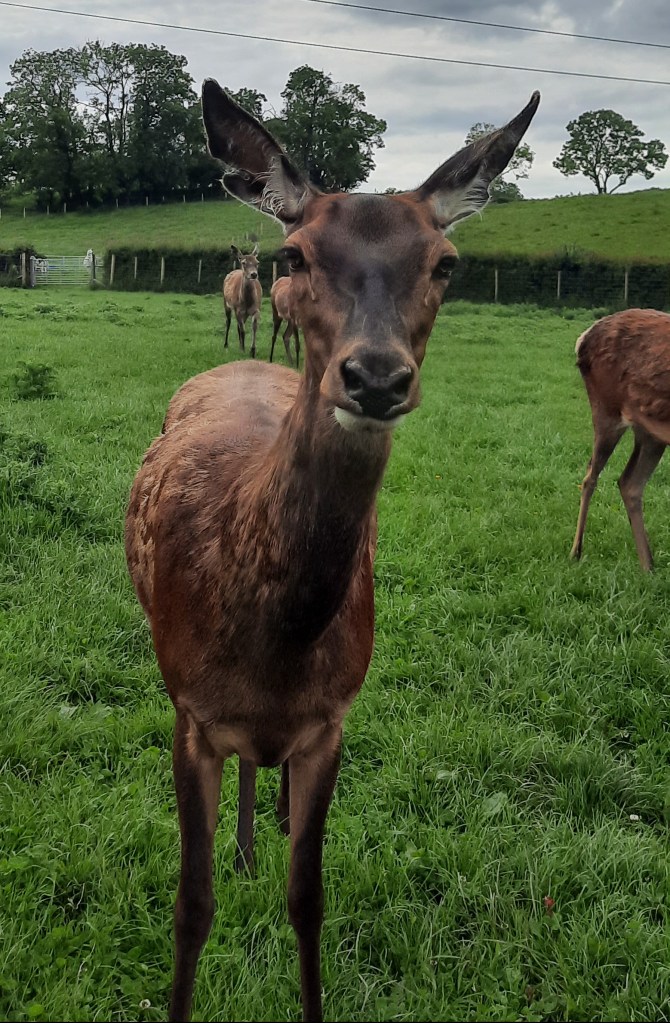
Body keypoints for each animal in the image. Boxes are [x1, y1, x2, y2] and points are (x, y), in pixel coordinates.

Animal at [124, 79, 540, 1023]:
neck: (273, 635)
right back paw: (245, 842)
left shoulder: (332, 719)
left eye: (446, 264)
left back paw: (264, 830)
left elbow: (309, 898)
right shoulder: (189, 711)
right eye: (296, 254)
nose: (375, 376)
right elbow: (189, 905)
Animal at [570, 308, 670, 572]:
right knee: (590, 476)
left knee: (629, 482)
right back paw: (575, 552)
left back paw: (648, 566)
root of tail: (582, 338)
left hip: (651, 432)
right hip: (606, 408)